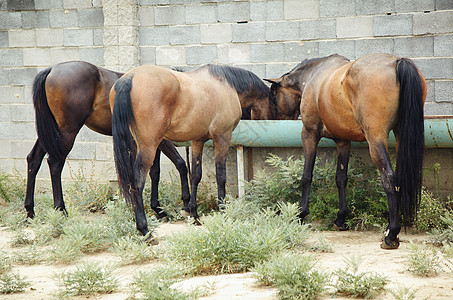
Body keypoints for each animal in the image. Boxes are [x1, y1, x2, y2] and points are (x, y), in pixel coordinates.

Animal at [26, 61, 189, 220]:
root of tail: (52, 69)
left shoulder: (153, 143)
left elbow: (155, 172)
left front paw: (158, 210)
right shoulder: (160, 141)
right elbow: (181, 164)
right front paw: (184, 205)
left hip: (50, 133)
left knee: (34, 160)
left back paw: (30, 212)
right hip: (66, 131)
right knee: (55, 164)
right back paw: (61, 210)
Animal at [111, 64, 278, 238]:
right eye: (275, 105)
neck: (227, 85)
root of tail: (129, 79)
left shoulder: (198, 140)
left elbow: (196, 176)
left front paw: (194, 214)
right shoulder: (222, 138)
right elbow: (221, 176)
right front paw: (222, 211)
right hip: (149, 147)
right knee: (137, 183)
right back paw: (144, 229)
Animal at [264, 53, 424, 248]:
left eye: (274, 96)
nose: (276, 120)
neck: (313, 76)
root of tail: (397, 61)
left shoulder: (309, 134)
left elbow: (306, 176)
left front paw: (301, 213)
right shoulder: (343, 142)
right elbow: (341, 178)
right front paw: (341, 218)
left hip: (376, 140)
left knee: (389, 177)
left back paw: (391, 234)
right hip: (400, 135)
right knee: (399, 177)